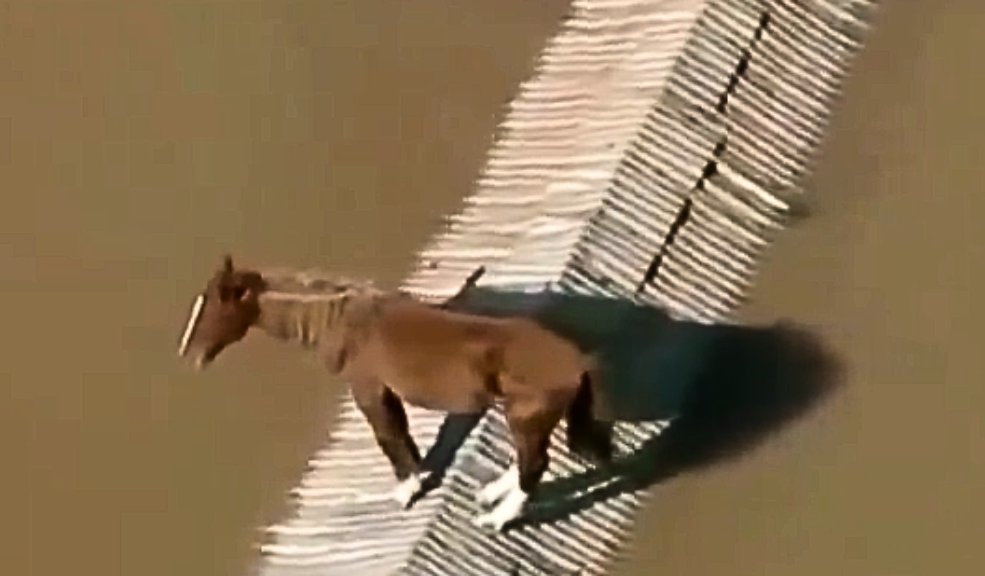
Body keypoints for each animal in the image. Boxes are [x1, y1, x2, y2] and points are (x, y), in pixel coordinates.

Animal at [177, 255, 612, 531]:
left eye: (215, 307)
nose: (190, 356)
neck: (344, 322)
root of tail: (578, 360)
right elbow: (399, 433)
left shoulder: (368, 389)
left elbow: (389, 435)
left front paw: (407, 489)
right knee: (529, 461)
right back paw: (493, 494)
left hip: (525, 416)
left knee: (534, 465)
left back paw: (497, 519)